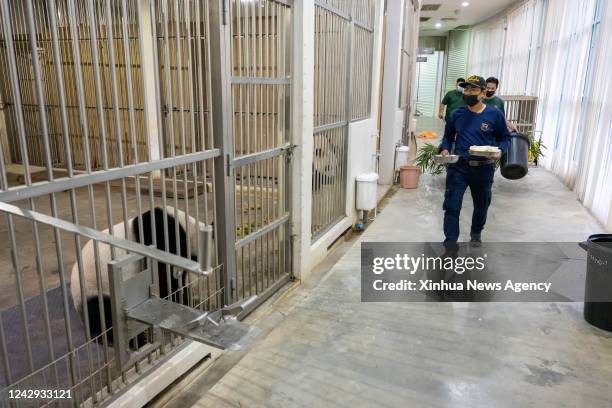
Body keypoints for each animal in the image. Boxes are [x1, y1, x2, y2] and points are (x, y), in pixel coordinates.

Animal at [70, 207, 210, 344]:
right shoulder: (159, 233)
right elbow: (163, 277)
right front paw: (180, 301)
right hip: (95, 289)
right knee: (104, 314)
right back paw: (137, 340)